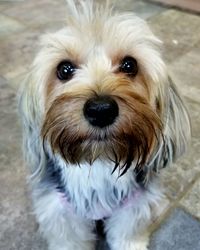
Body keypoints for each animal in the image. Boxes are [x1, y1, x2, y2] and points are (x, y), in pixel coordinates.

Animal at [18, 0, 191, 250]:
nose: (101, 110)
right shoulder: (61, 211)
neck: (98, 160)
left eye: (129, 65)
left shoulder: (132, 207)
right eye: (64, 69)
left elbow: (127, 234)